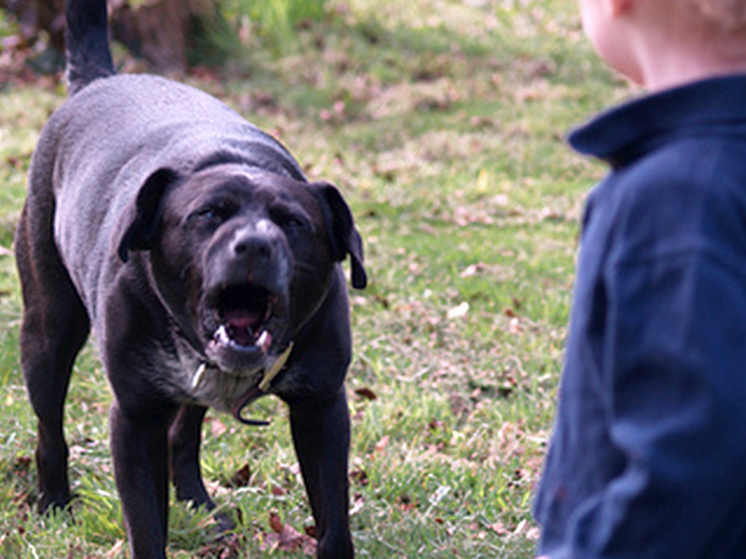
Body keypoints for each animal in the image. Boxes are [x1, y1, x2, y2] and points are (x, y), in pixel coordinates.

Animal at [16, 1, 364, 559]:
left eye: (293, 222)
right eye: (208, 214)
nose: (255, 245)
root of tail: (99, 81)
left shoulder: (322, 407)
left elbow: (333, 521)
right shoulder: (135, 417)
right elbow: (145, 526)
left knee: (185, 435)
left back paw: (200, 505)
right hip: (47, 333)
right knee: (51, 429)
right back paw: (53, 501)